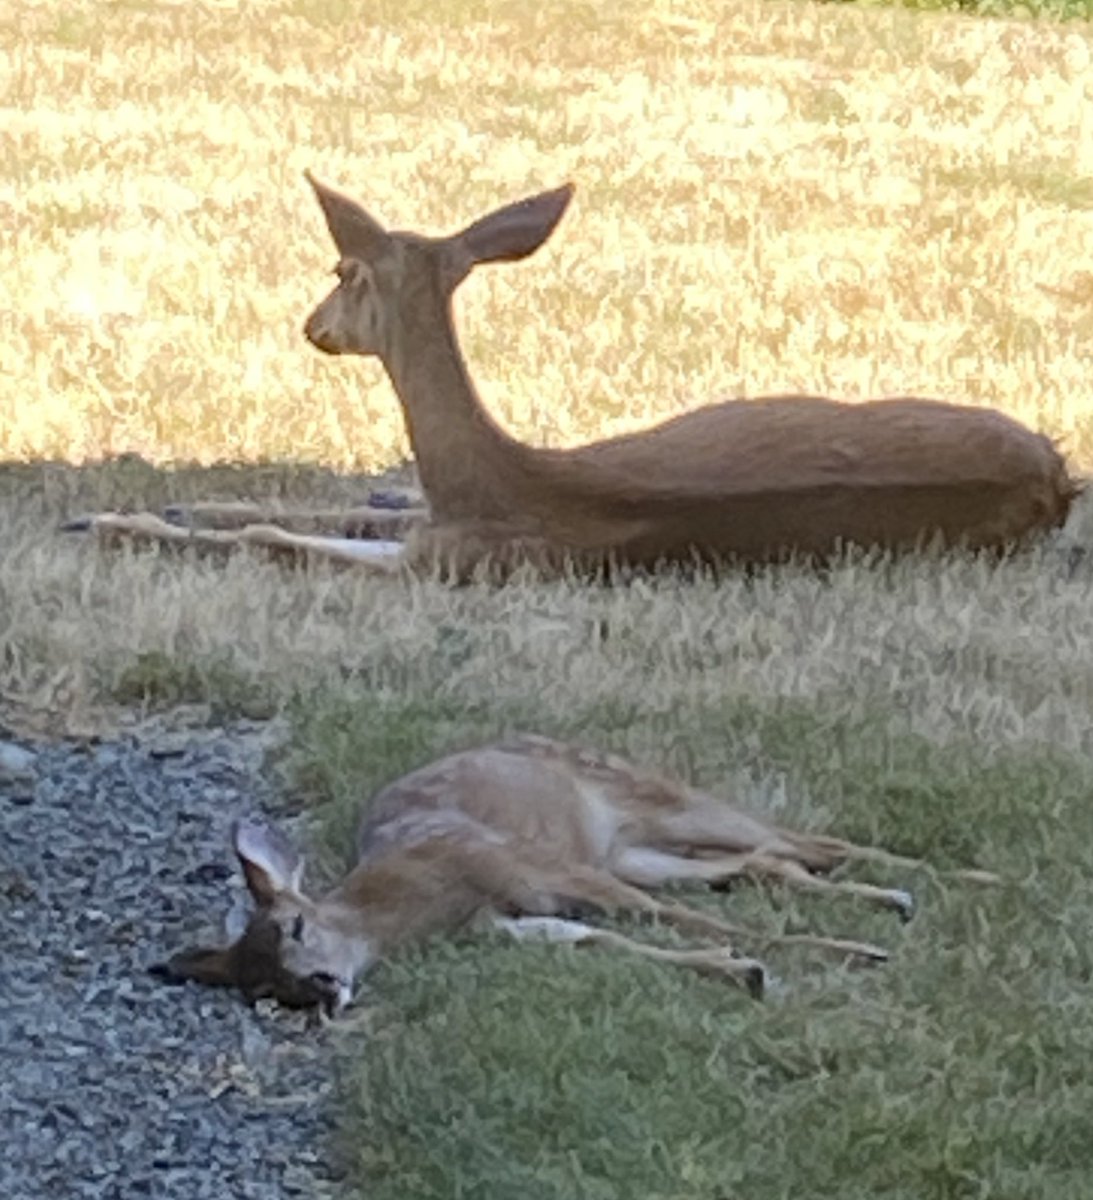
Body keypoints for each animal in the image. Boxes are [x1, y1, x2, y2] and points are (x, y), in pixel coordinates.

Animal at [67, 174, 1078, 582]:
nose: (310, 330)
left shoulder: (455, 562)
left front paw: (121, 524)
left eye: (339, 271)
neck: (494, 477)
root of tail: (1058, 474)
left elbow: (278, 538)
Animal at [151, 734, 998, 1016]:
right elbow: (608, 943)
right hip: (633, 848)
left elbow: (685, 922)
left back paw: (955, 882)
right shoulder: (514, 921)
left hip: (657, 802)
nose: (325, 987)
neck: (424, 898)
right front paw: (742, 970)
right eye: (269, 989)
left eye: (297, 924)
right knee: (767, 862)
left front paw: (840, 955)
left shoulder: (533, 864)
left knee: (804, 839)